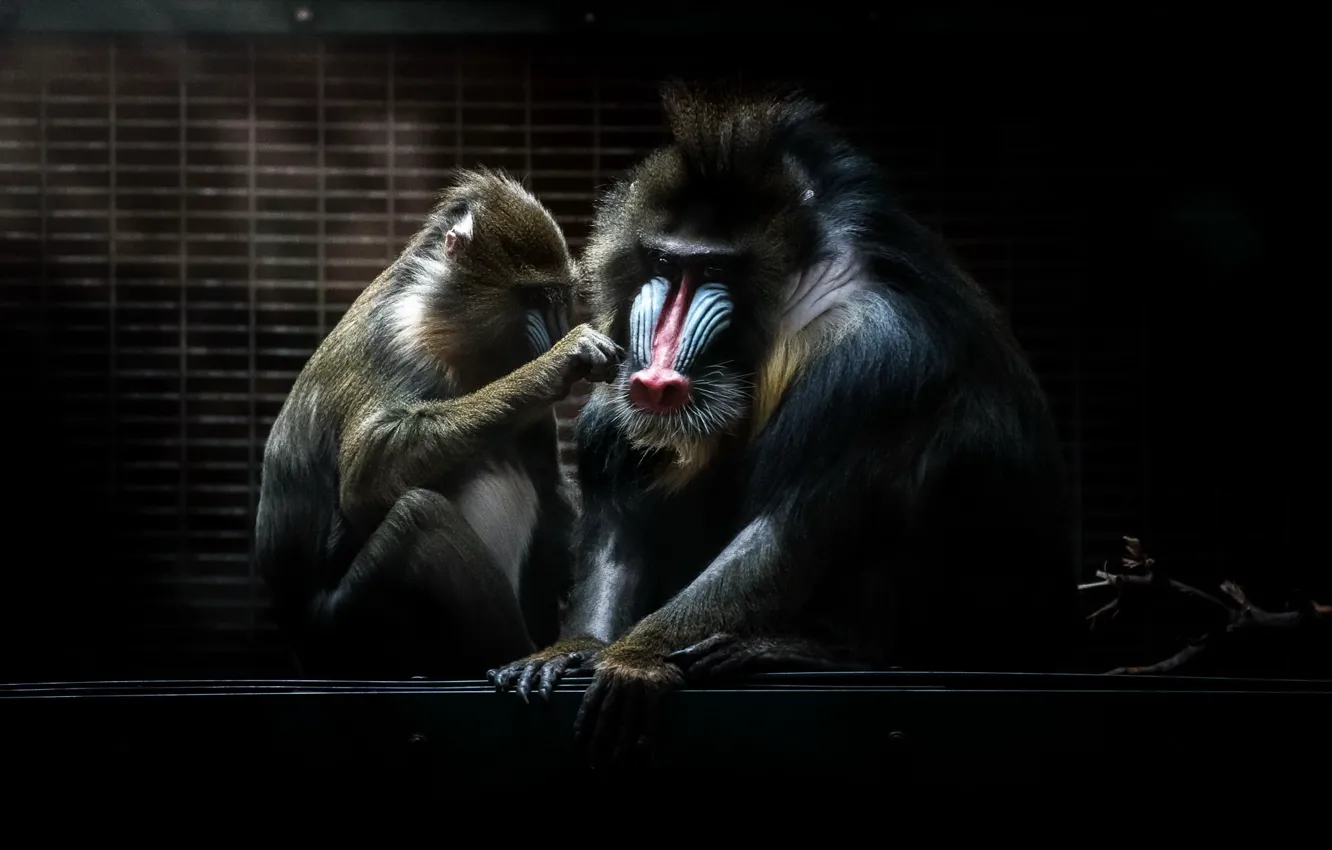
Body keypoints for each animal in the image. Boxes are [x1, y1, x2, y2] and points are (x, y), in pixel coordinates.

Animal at [254, 167, 624, 680]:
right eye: (532, 297)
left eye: (558, 299)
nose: (550, 334)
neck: (449, 323)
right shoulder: (401, 343)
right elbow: (364, 479)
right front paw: (559, 360)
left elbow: (551, 492)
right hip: (349, 629)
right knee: (418, 517)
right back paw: (512, 655)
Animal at [487, 82, 1082, 765]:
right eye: (664, 262)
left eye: (714, 272)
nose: (654, 374)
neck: (795, 303)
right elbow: (622, 507)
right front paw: (575, 649)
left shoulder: (869, 358)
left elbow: (786, 530)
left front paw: (635, 659)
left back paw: (802, 653)